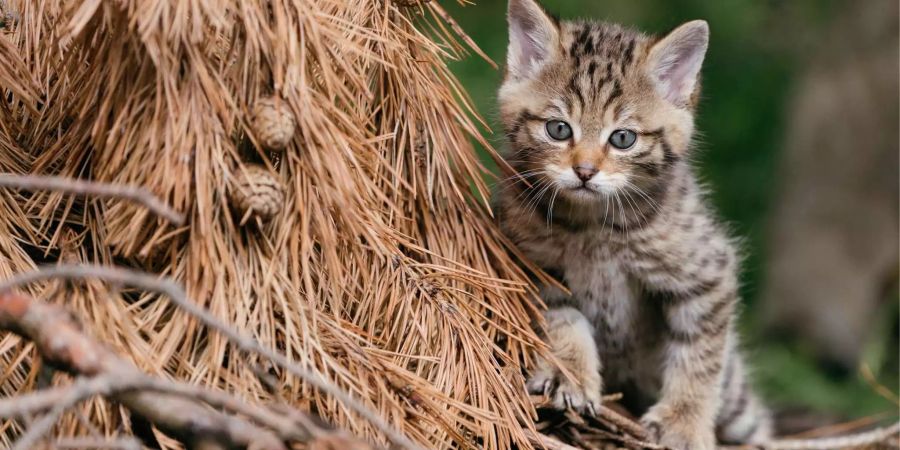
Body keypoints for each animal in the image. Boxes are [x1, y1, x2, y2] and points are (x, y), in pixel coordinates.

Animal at [492, 1, 772, 448]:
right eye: (558, 129)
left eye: (623, 138)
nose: (585, 171)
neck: (594, 226)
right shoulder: (526, 257)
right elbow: (561, 317)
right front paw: (568, 373)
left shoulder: (709, 272)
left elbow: (700, 354)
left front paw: (684, 422)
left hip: (736, 399)